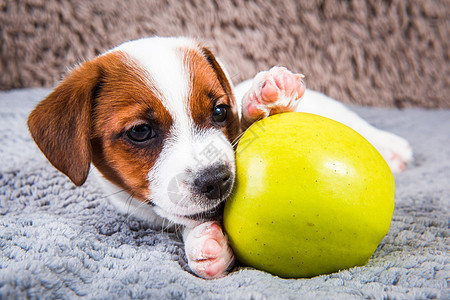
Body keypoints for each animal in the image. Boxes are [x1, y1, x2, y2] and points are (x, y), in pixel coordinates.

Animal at [25, 37, 412, 278]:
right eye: (140, 131)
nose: (217, 181)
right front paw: (204, 242)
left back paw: (394, 148)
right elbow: (181, 219)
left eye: (220, 111)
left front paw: (265, 95)